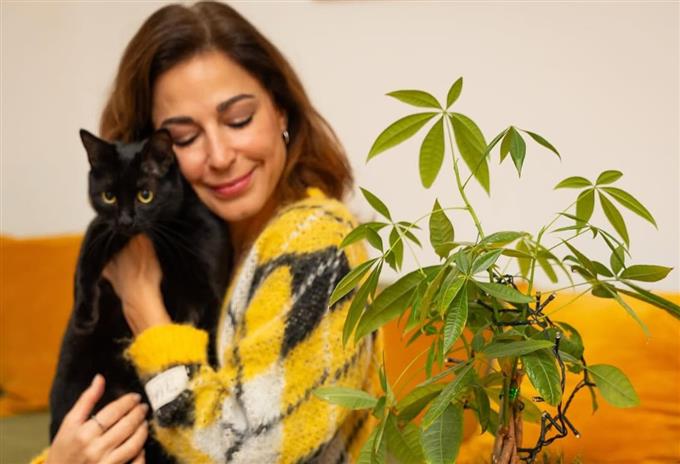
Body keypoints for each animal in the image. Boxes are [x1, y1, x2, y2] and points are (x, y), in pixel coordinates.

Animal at [49, 128, 231, 463]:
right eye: (108, 196)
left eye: (144, 195)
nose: (126, 220)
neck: (165, 236)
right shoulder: (102, 228)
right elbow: (84, 263)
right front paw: (84, 316)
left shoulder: (207, 290)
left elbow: (198, 339)